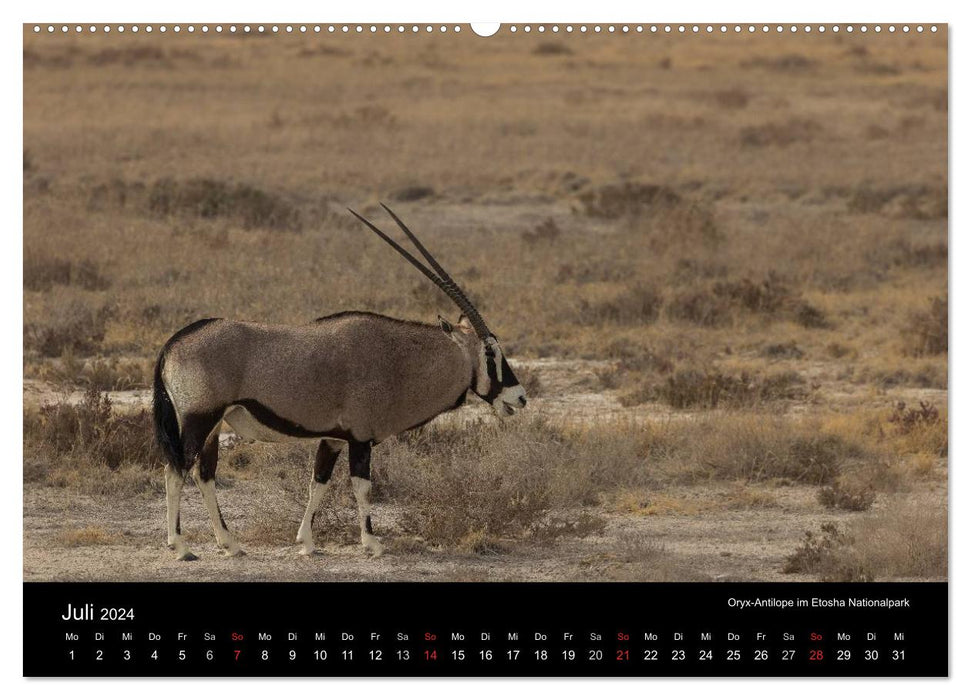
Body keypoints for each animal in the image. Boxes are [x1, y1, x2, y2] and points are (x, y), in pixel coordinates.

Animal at [155, 205, 528, 560]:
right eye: (490, 353)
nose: (520, 397)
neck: (397, 359)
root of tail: (174, 342)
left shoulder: (333, 438)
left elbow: (317, 483)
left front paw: (306, 542)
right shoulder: (360, 438)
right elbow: (362, 486)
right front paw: (373, 544)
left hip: (215, 425)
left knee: (203, 474)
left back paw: (230, 544)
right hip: (199, 418)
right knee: (176, 471)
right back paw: (182, 547)